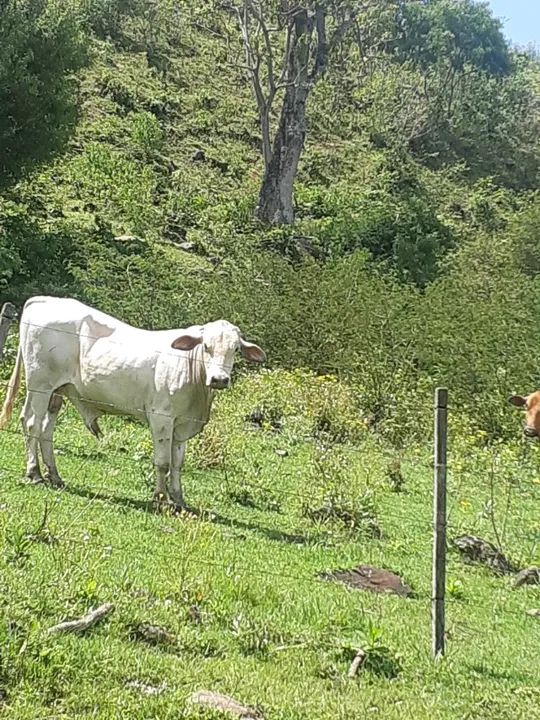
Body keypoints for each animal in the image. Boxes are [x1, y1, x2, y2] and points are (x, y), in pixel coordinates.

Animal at [0, 296, 266, 510]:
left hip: (58, 391)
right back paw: (34, 473)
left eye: (235, 349)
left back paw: (54, 476)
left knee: (46, 429)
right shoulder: (161, 418)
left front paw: (179, 500)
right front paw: (161, 499)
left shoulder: (182, 425)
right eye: (207, 346)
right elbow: (163, 462)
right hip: (40, 384)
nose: (219, 379)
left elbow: (178, 463)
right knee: (31, 423)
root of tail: (43, 300)